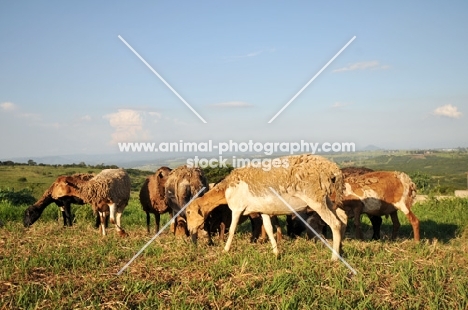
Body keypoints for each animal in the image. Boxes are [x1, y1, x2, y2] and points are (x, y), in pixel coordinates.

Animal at [186, 154, 348, 260]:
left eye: (188, 212)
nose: (189, 230)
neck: (225, 189)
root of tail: (332, 168)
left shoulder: (237, 208)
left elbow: (231, 230)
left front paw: (225, 250)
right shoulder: (263, 210)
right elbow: (269, 229)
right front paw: (276, 252)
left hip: (315, 198)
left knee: (335, 223)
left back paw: (334, 257)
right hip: (328, 199)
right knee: (342, 218)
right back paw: (340, 248)